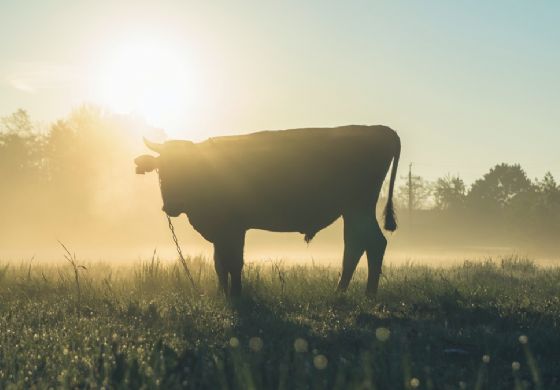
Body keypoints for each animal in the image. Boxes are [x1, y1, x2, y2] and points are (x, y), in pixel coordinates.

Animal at [135, 125, 398, 296]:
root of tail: (382, 130)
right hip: (354, 211)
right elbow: (219, 263)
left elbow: (234, 262)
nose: (172, 204)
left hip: (358, 207)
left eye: (188, 167)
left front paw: (237, 294)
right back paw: (348, 293)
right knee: (360, 245)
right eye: (162, 169)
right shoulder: (221, 231)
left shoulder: (234, 228)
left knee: (368, 244)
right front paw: (222, 293)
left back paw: (360, 295)